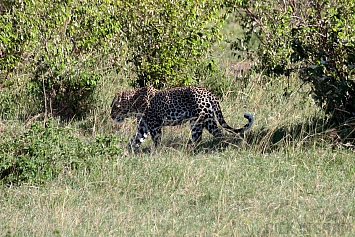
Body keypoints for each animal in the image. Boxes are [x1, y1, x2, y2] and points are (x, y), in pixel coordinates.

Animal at [110, 85, 254, 148]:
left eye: (113, 106)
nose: (111, 116)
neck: (133, 102)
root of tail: (208, 91)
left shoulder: (154, 125)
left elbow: (156, 140)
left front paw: (155, 153)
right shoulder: (143, 126)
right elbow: (135, 140)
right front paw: (127, 153)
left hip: (207, 119)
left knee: (219, 134)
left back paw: (219, 146)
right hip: (196, 122)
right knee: (197, 138)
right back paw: (192, 150)